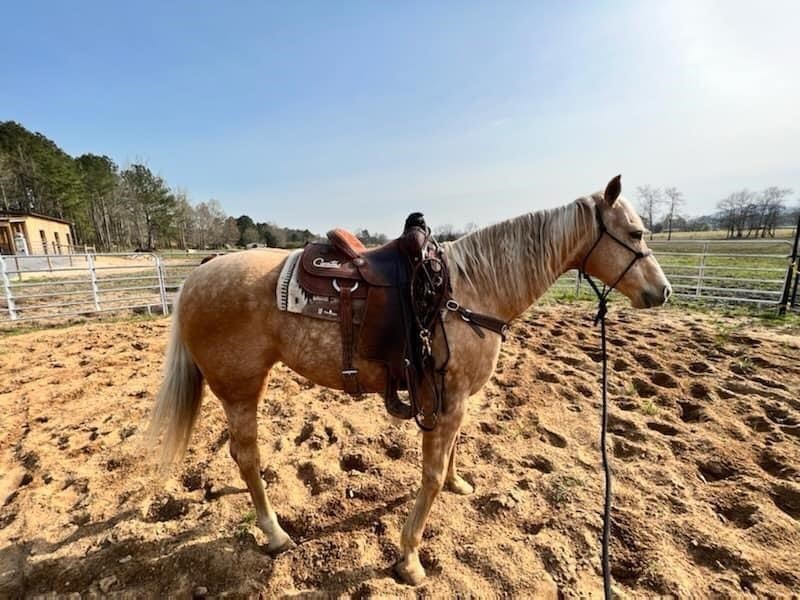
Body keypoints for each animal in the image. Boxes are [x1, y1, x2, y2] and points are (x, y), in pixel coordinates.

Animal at [148, 175, 668, 584]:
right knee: (248, 456)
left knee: (239, 456)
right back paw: (274, 532)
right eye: (636, 231)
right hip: (241, 388)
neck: (470, 292)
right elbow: (430, 475)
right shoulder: (448, 399)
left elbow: (453, 454)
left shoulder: (453, 397)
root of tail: (200, 273)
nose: (661, 291)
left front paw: (459, 484)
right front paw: (410, 558)